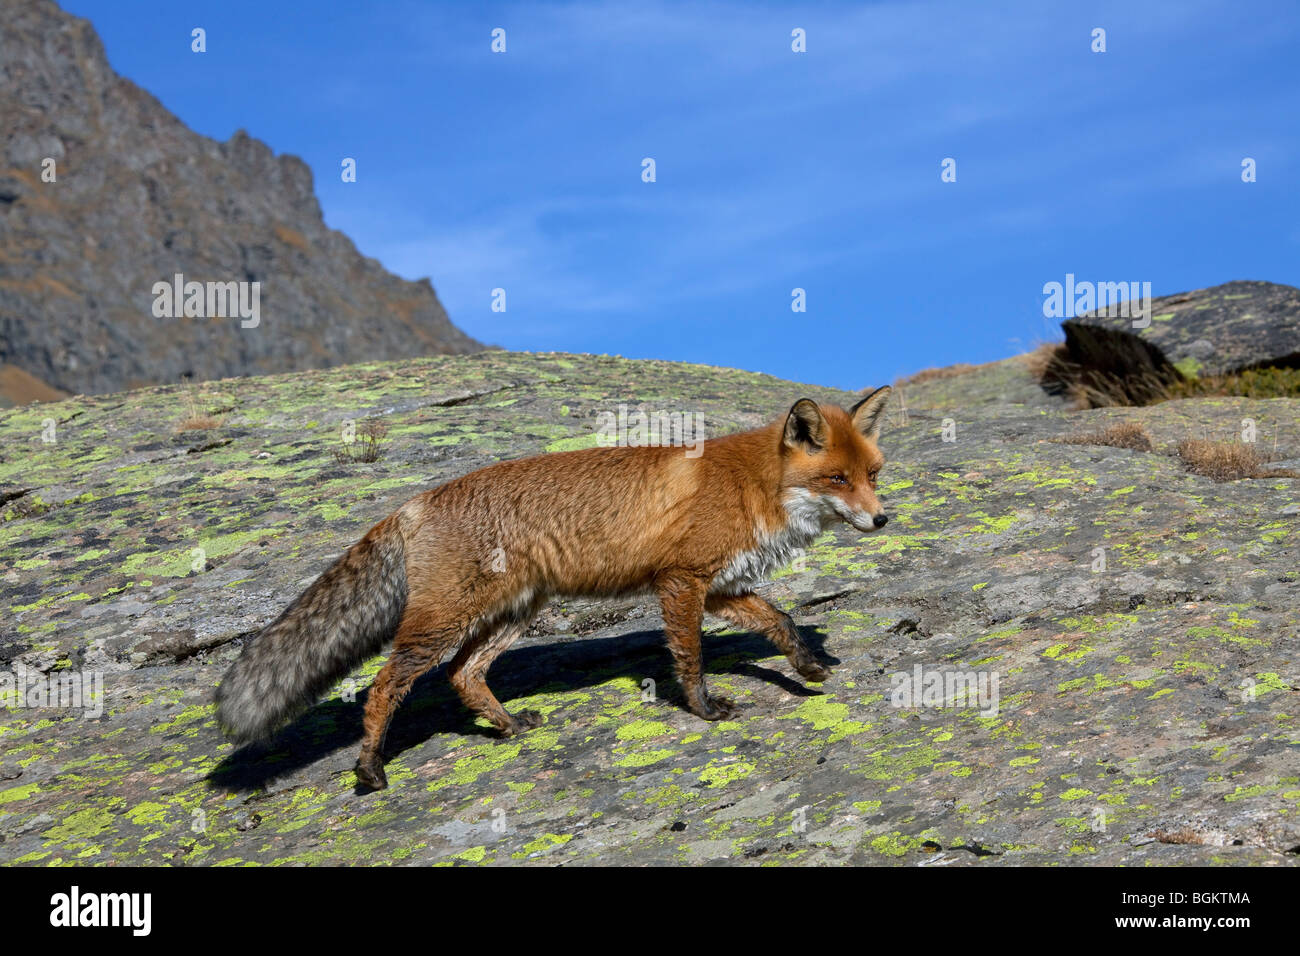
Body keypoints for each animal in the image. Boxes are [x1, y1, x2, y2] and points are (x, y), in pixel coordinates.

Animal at [215, 387, 892, 790]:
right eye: (838, 479)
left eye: (874, 475)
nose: (883, 519)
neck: (753, 485)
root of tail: (412, 504)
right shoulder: (681, 582)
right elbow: (692, 659)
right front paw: (703, 710)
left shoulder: (720, 586)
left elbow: (780, 620)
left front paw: (805, 666)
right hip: (444, 621)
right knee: (383, 688)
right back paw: (370, 768)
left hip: (514, 612)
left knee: (463, 674)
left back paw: (509, 727)